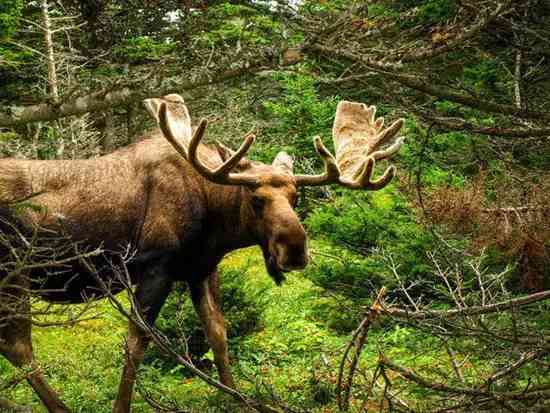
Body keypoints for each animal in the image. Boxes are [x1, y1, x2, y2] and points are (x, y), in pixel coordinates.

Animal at [0, 94, 406, 412]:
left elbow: (218, 333)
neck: (212, 217)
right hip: (14, 272)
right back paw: (59, 406)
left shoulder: (201, 268)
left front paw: (236, 398)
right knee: (19, 347)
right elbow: (136, 342)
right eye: (256, 199)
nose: (294, 250)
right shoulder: (155, 265)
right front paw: (121, 406)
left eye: (295, 196)